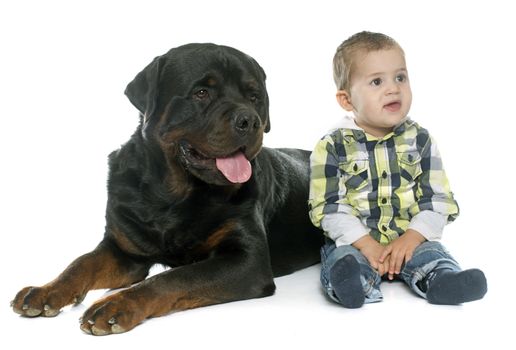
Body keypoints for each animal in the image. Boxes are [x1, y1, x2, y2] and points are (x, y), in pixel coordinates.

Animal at [12, 43, 322, 334]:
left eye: (254, 97)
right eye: (201, 93)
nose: (251, 121)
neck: (172, 197)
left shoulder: (248, 261)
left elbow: (174, 277)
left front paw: (117, 304)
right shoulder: (124, 251)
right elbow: (82, 263)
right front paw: (45, 291)